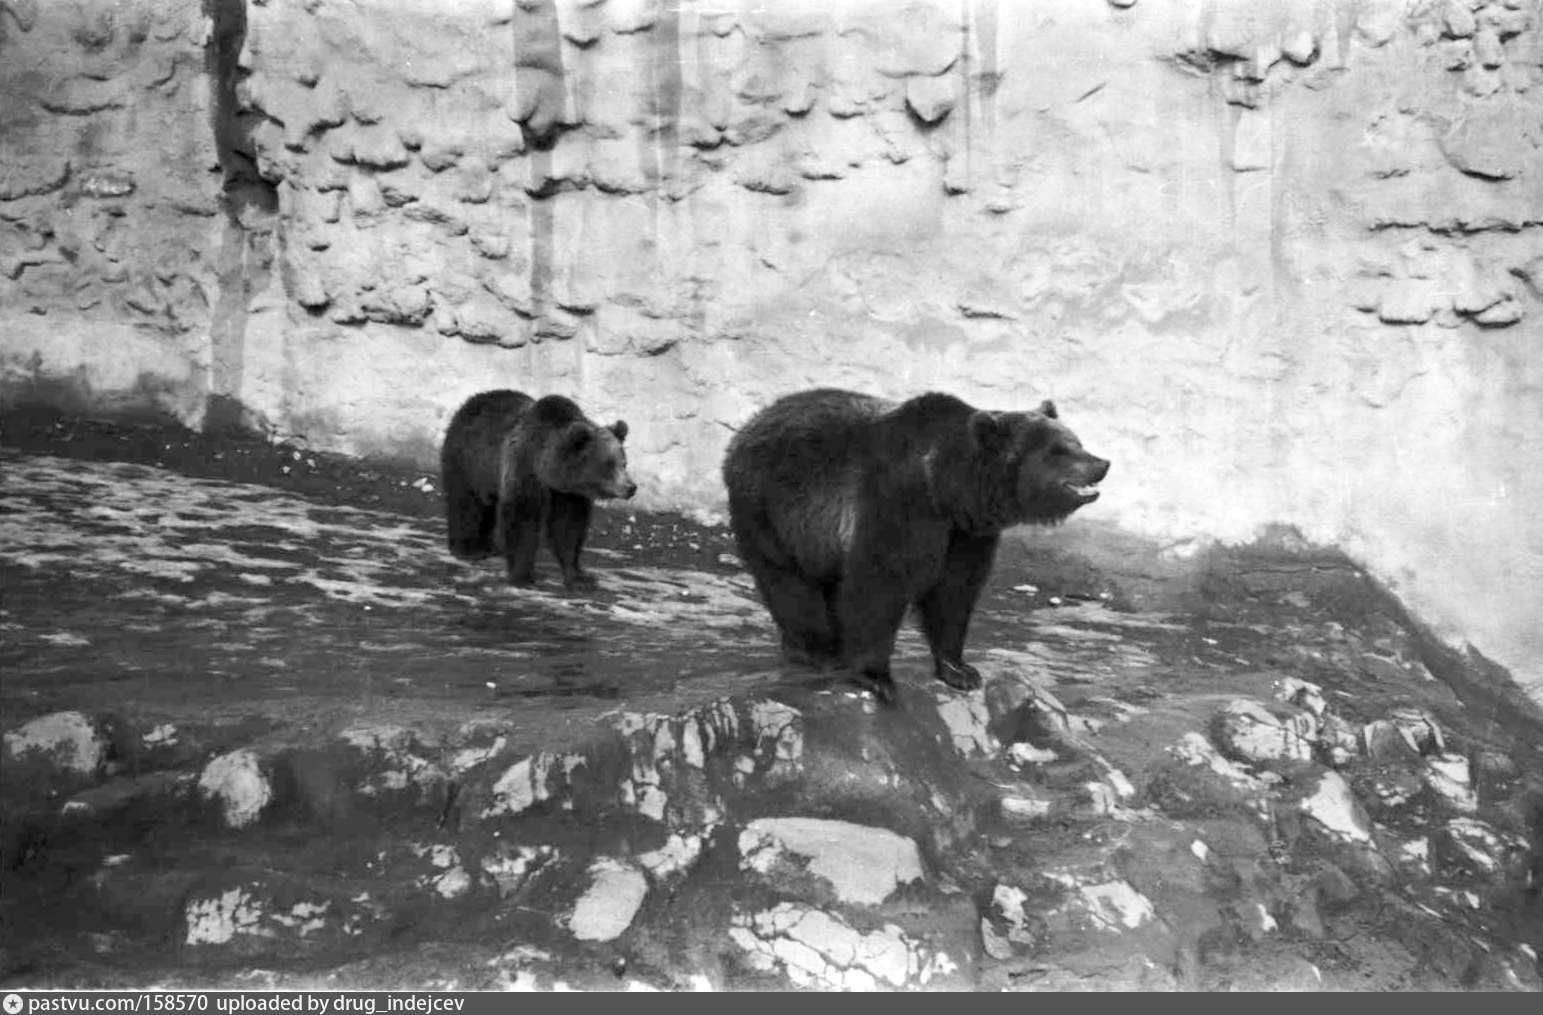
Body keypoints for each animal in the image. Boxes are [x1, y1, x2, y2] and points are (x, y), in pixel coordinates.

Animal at [438, 391, 635, 589]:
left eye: (624, 463)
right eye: (608, 464)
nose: (631, 487)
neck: (549, 470)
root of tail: (470, 402)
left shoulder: (568, 493)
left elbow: (568, 527)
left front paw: (579, 576)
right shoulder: (524, 469)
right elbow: (523, 522)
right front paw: (523, 576)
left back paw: (489, 546)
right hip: (469, 462)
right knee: (466, 505)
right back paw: (468, 548)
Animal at [722, 388, 1110, 703]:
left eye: (1077, 441)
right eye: (1059, 450)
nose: (1102, 463)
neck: (948, 487)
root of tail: (747, 426)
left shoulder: (966, 534)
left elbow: (955, 592)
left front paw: (960, 670)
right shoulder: (900, 502)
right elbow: (880, 581)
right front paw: (876, 677)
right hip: (770, 507)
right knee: (788, 583)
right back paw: (817, 650)